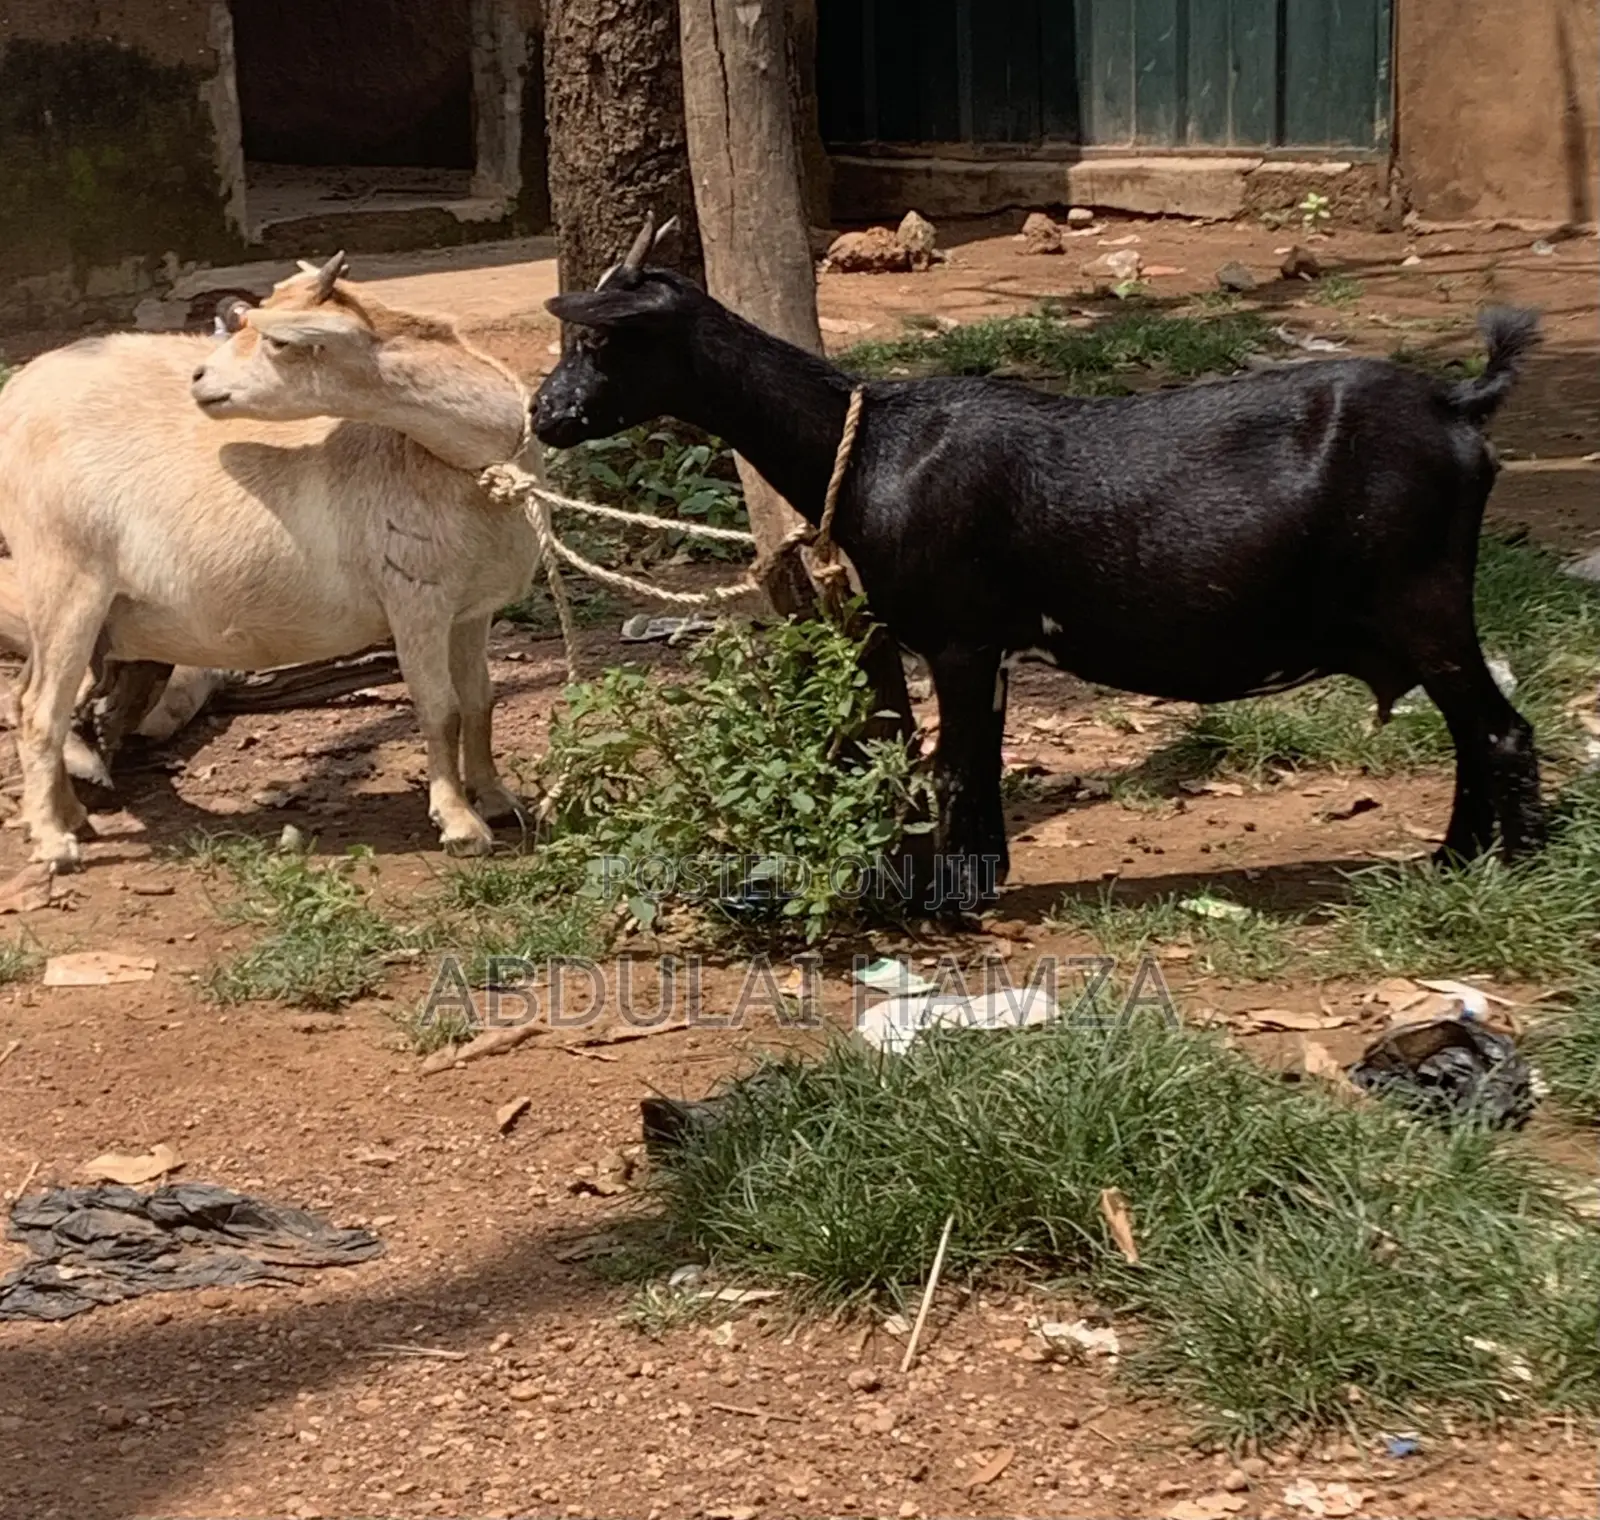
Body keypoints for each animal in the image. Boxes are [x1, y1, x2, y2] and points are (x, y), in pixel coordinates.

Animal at [0, 252, 540, 868]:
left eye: (279, 341)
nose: (199, 380)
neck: (475, 470)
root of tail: (17, 394)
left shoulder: (470, 611)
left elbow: (479, 701)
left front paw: (498, 800)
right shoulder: (415, 598)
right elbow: (439, 707)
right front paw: (459, 824)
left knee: (27, 697)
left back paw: (71, 815)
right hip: (64, 574)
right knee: (40, 709)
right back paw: (53, 840)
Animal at [534, 232, 1543, 907]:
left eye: (598, 341)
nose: (546, 415)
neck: (870, 449)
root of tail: (1462, 406)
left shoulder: (958, 634)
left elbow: (952, 767)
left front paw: (944, 902)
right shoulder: (990, 644)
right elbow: (975, 763)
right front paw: (974, 885)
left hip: (1422, 596)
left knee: (1499, 731)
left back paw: (1502, 865)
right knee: (1475, 730)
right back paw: (1457, 860)